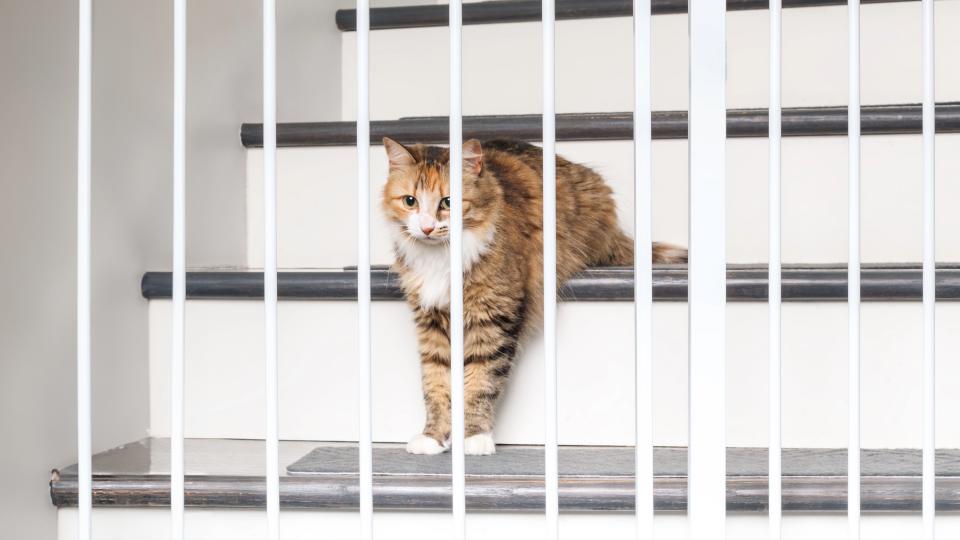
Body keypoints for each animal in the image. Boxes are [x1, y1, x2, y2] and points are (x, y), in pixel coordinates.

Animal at [378, 137, 688, 454]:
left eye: (448, 203)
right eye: (410, 201)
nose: (427, 228)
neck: (439, 258)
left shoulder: (493, 316)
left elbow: (480, 381)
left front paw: (474, 438)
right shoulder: (432, 321)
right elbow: (435, 383)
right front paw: (433, 437)